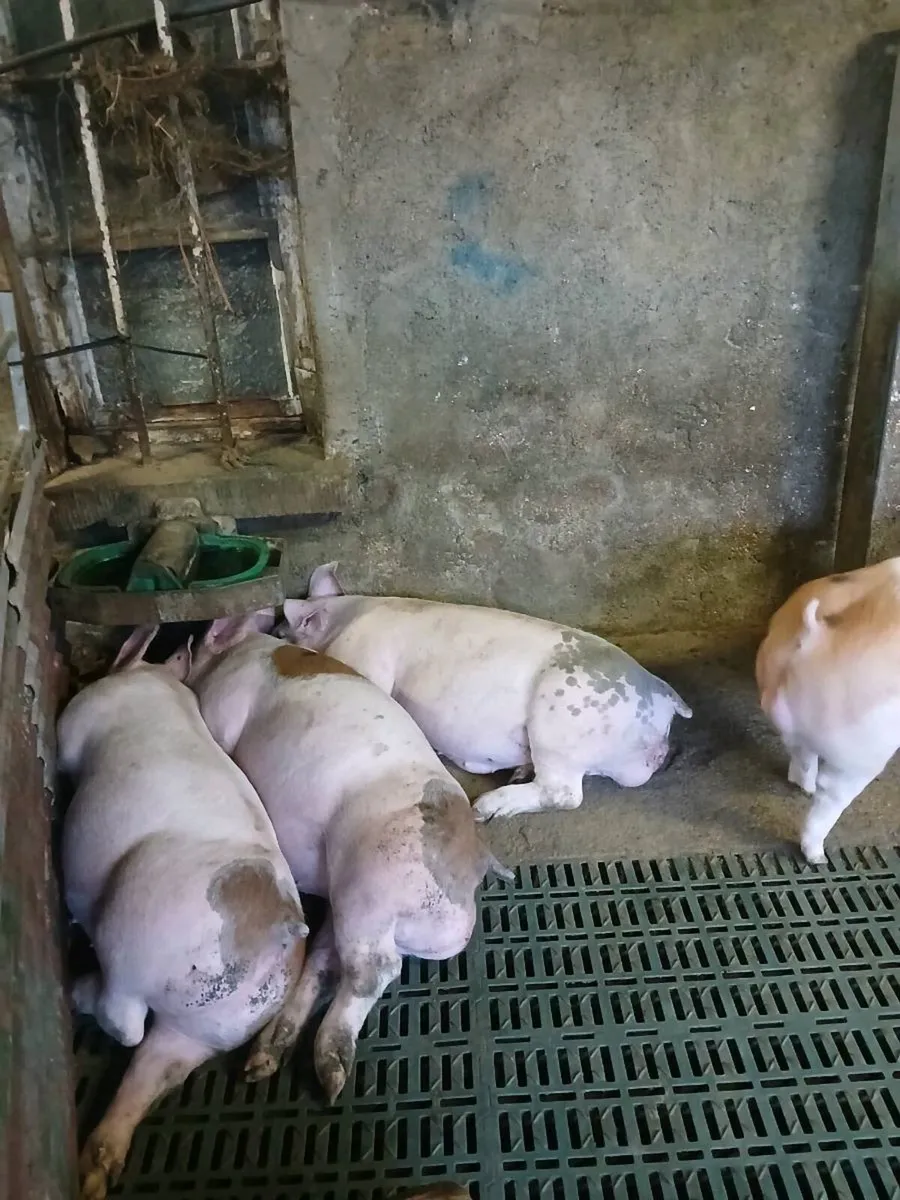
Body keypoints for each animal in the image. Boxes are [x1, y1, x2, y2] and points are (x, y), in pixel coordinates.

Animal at [59, 626, 307, 1200]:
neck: (153, 681)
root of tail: (279, 928)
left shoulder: (78, 720)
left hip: (137, 932)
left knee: (123, 1020)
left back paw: (75, 988)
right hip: (211, 1028)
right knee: (153, 1067)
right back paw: (93, 1175)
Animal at [181, 612, 511, 1103]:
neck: (239, 652)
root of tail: (473, 863)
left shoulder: (222, 708)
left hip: (372, 882)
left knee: (373, 970)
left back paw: (331, 1079)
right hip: (348, 902)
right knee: (326, 965)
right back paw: (261, 1064)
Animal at [279, 564, 692, 821]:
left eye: (284, 629)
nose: (276, 632)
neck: (345, 618)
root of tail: (663, 696)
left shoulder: (366, 656)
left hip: (562, 718)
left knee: (564, 793)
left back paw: (485, 808)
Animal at [756, 557, 900, 864]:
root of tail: (815, 638)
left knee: (801, 753)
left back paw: (803, 787)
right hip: (864, 749)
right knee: (830, 794)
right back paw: (817, 856)